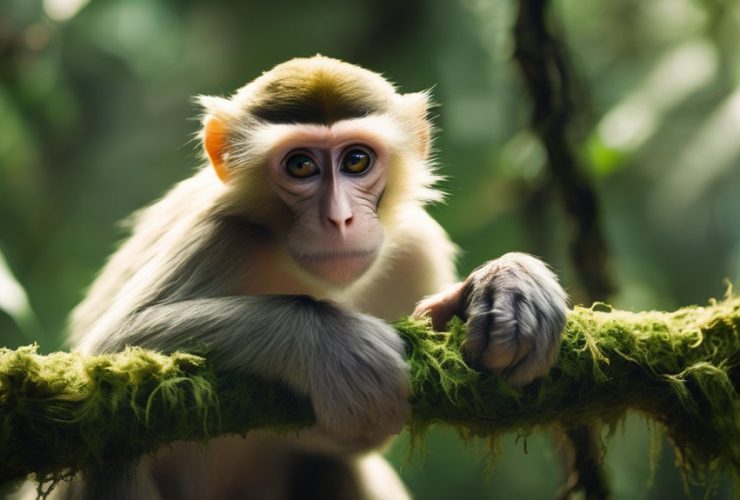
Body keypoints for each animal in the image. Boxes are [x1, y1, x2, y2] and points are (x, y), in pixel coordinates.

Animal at [31, 56, 567, 500]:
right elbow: (111, 350)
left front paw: (503, 288)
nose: (339, 219)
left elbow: (359, 442)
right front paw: (336, 347)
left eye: (356, 160)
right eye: (301, 165)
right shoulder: (220, 234)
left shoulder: (417, 248)